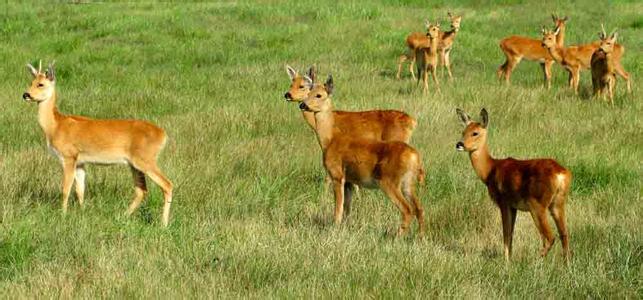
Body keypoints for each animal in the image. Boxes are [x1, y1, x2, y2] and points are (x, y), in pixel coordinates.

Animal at [22, 62, 174, 226]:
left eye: (40, 84)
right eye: (31, 82)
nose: (26, 95)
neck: (55, 126)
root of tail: (163, 135)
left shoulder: (69, 156)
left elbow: (65, 189)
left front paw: (62, 216)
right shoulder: (80, 162)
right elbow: (80, 190)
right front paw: (82, 213)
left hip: (146, 159)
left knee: (167, 184)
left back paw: (163, 224)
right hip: (135, 163)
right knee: (141, 190)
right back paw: (122, 216)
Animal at [300, 74, 428, 234]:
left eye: (319, 95)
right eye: (307, 93)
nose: (302, 105)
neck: (330, 140)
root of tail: (415, 156)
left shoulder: (337, 175)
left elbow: (338, 208)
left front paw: (334, 227)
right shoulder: (349, 181)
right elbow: (347, 208)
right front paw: (345, 227)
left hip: (389, 181)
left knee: (407, 210)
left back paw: (397, 236)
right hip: (408, 182)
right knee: (419, 208)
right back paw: (420, 236)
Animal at [456, 109, 572, 262]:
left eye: (475, 133)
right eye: (463, 131)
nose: (459, 144)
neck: (490, 170)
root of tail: (561, 174)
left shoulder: (504, 201)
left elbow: (506, 233)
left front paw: (506, 261)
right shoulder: (514, 206)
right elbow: (511, 233)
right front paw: (509, 258)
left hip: (537, 204)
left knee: (549, 237)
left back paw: (535, 261)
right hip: (558, 203)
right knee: (564, 234)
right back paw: (566, 263)